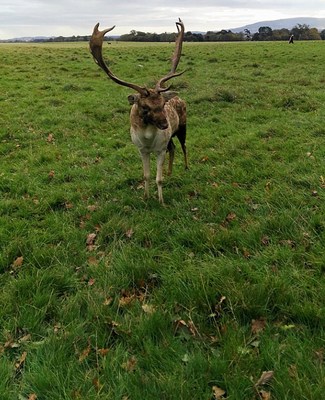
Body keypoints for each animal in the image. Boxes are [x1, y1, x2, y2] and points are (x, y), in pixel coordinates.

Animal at [90, 18, 189, 203]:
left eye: (163, 104)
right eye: (145, 107)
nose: (165, 125)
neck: (148, 139)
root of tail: (179, 97)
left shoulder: (160, 149)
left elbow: (158, 178)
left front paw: (161, 201)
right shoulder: (141, 149)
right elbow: (146, 175)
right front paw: (146, 196)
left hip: (183, 126)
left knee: (184, 146)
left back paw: (186, 167)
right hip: (170, 138)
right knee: (173, 147)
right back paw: (170, 172)